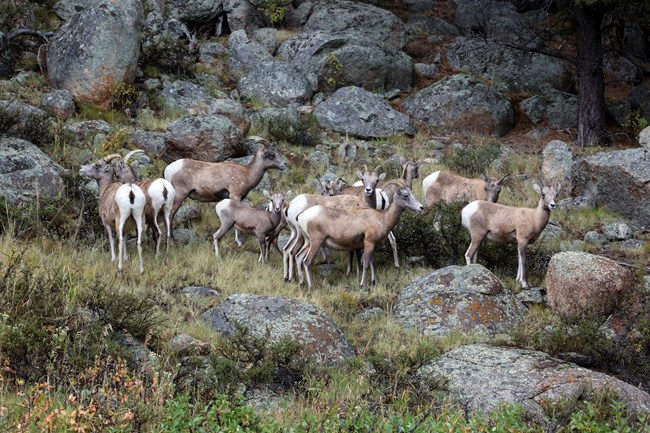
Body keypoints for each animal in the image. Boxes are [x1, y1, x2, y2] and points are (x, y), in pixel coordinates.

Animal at [294, 188, 426, 286]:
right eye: (405, 195)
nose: (421, 208)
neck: (382, 218)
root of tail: (301, 216)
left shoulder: (373, 246)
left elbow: (372, 262)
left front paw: (374, 281)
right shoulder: (368, 243)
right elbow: (366, 264)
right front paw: (363, 284)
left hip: (308, 243)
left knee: (299, 257)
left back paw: (301, 283)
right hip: (316, 243)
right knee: (307, 261)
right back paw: (311, 286)